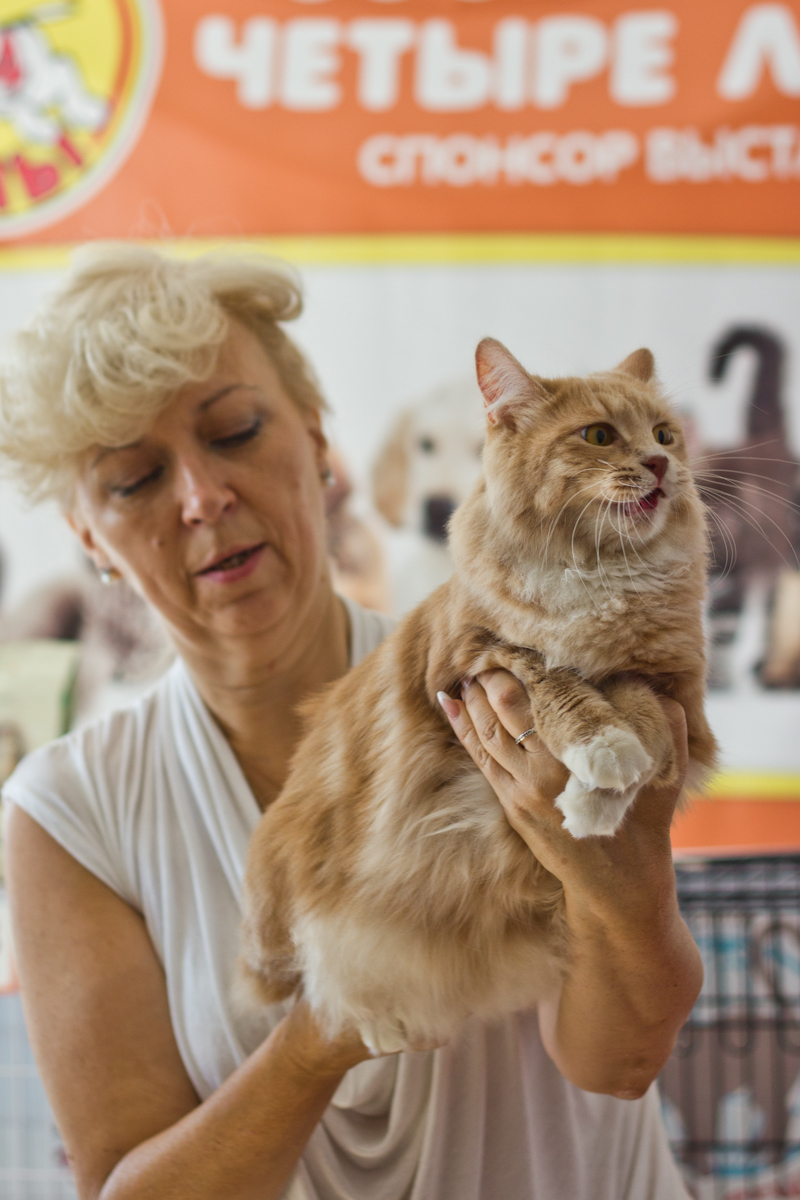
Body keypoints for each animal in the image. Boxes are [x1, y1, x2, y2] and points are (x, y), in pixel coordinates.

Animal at [239, 339, 719, 1055]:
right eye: (600, 436)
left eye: (665, 435)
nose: (662, 463)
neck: (602, 577)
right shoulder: (474, 658)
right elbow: (559, 685)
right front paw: (600, 755)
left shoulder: (674, 695)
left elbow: (639, 725)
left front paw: (593, 800)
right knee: (324, 975)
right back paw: (384, 1027)